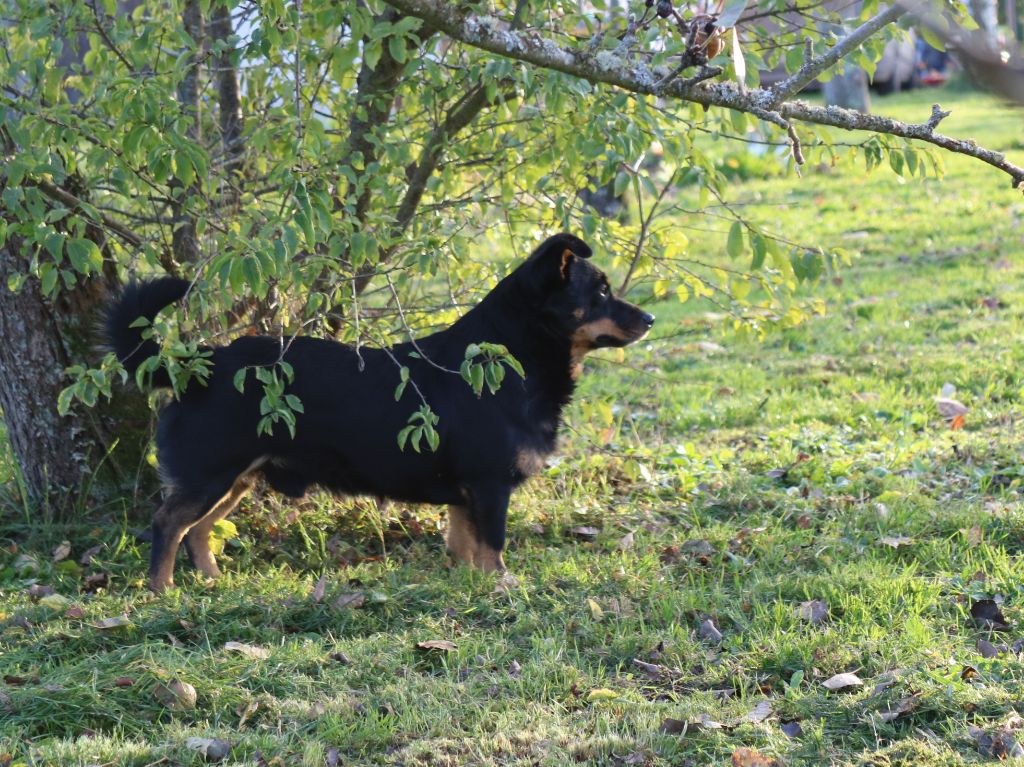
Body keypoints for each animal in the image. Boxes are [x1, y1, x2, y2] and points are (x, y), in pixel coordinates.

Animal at [108, 230, 655, 589]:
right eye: (601, 291)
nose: (650, 318)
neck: (509, 358)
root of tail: (197, 363)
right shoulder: (490, 487)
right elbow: (492, 550)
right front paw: (502, 588)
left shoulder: (465, 498)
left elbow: (465, 549)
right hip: (210, 474)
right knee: (168, 525)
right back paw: (163, 589)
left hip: (235, 480)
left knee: (196, 530)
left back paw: (210, 582)